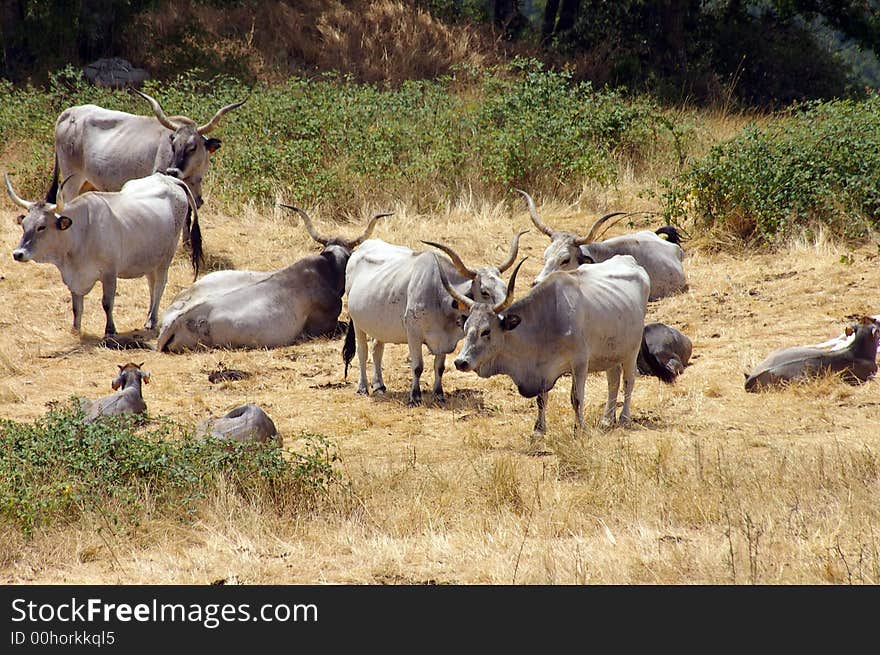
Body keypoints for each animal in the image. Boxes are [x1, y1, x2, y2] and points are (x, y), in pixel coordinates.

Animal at [342, 231, 524, 404]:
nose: (506, 319)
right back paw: (363, 387)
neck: (439, 295)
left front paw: (439, 394)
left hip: (379, 326)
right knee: (363, 352)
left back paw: (379, 385)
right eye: (485, 292)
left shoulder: (443, 341)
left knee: (377, 350)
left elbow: (439, 367)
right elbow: (417, 367)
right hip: (357, 323)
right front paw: (415, 397)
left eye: (504, 288)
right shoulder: (413, 334)